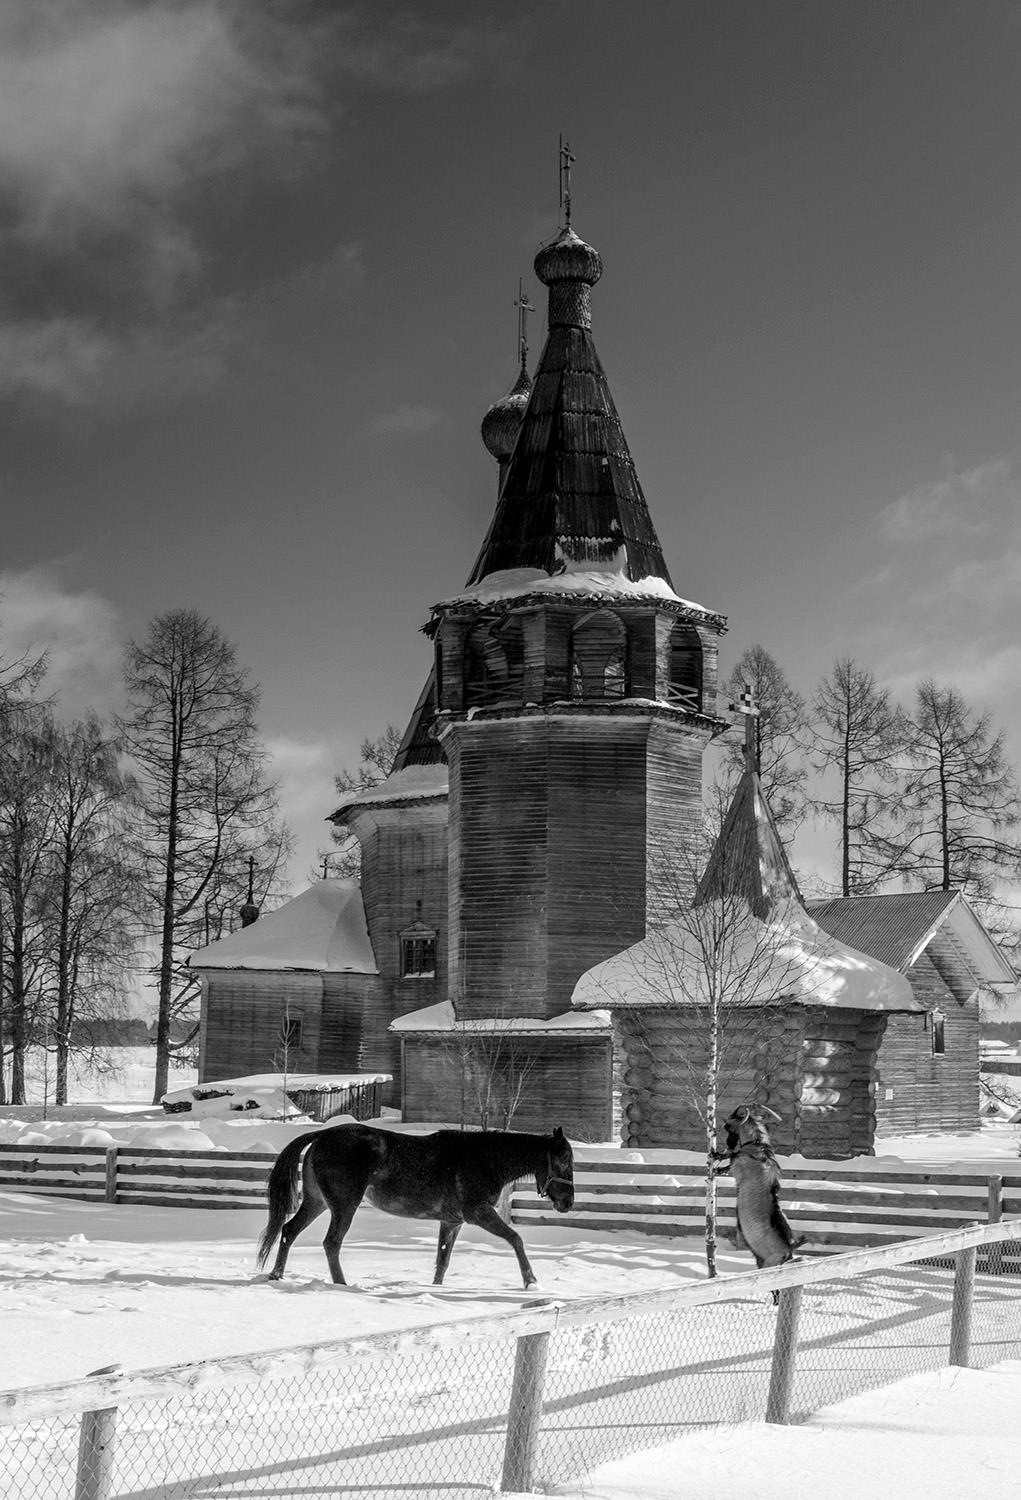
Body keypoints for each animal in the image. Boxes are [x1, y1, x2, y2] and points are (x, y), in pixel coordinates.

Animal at [254, 1128, 572, 1290]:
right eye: (564, 1159)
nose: (568, 1203)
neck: (485, 1159)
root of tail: (322, 1135)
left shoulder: (452, 1221)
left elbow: (443, 1259)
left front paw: (435, 1288)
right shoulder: (478, 1213)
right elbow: (516, 1239)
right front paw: (531, 1280)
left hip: (316, 1201)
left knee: (289, 1230)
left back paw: (276, 1275)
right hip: (344, 1204)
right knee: (331, 1242)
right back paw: (341, 1284)